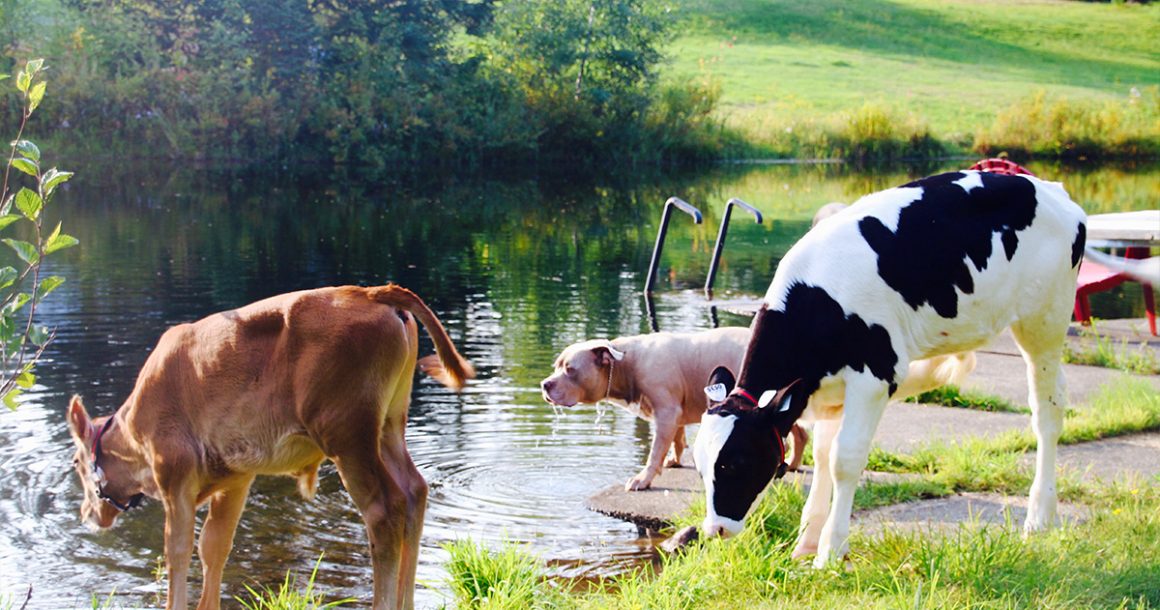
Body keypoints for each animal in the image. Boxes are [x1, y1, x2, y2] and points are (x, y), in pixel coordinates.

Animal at [65, 287, 473, 610]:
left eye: (75, 462)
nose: (86, 512)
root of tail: (371, 292)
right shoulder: (235, 478)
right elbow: (214, 547)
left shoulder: (174, 478)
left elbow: (177, 551)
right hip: (389, 426)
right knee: (414, 491)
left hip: (348, 438)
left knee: (383, 510)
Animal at [691, 169, 1090, 565]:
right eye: (700, 465)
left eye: (736, 462)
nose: (716, 530)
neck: (818, 299)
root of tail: (1049, 189)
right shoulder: (829, 388)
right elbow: (822, 454)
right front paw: (806, 543)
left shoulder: (874, 376)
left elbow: (844, 459)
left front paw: (830, 552)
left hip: (1044, 319)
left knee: (1047, 410)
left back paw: (1039, 519)